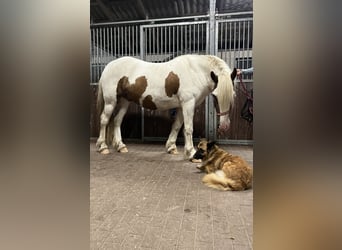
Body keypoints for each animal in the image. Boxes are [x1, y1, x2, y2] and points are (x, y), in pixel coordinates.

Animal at [95, 55, 236, 160]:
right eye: (215, 96)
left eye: (233, 95)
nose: (224, 126)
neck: (195, 71)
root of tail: (108, 66)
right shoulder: (188, 103)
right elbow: (188, 128)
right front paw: (191, 152)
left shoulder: (181, 106)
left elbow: (177, 126)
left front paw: (171, 148)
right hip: (110, 101)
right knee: (104, 120)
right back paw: (103, 147)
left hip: (125, 101)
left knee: (117, 121)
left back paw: (121, 146)